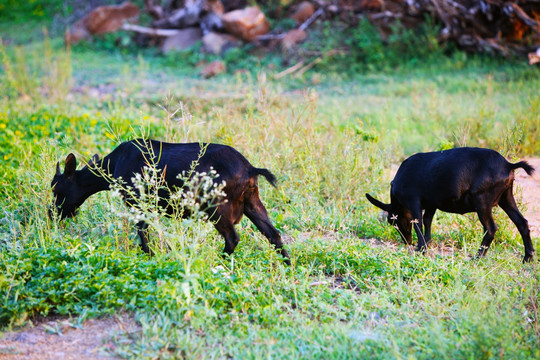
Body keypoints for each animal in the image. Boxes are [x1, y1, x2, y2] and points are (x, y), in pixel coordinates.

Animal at [50, 138, 292, 264]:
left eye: (57, 190)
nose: (52, 215)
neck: (114, 164)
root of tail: (250, 169)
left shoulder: (138, 202)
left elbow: (143, 234)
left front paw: (152, 255)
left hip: (217, 207)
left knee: (232, 238)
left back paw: (218, 262)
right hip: (252, 201)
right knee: (274, 234)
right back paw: (288, 266)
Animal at [368, 146, 536, 262]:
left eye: (393, 221)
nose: (406, 241)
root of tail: (508, 165)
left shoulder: (413, 201)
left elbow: (418, 223)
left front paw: (420, 249)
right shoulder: (431, 204)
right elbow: (427, 221)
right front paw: (427, 244)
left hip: (482, 201)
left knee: (490, 228)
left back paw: (477, 257)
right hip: (506, 197)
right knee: (521, 223)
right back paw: (527, 258)